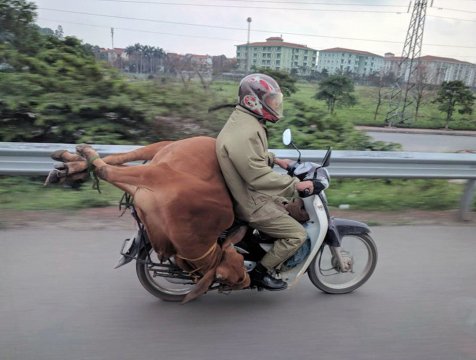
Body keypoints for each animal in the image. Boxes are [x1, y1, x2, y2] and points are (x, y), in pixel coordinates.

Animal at [46, 136, 251, 302]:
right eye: (229, 280)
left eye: (242, 260)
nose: (248, 281)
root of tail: (212, 140)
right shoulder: (158, 175)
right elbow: (107, 172)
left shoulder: (141, 194)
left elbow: (107, 172)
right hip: (157, 156)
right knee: (115, 161)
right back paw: (77, 156)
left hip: (155, 159)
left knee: (114, 160)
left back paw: (68, 166)